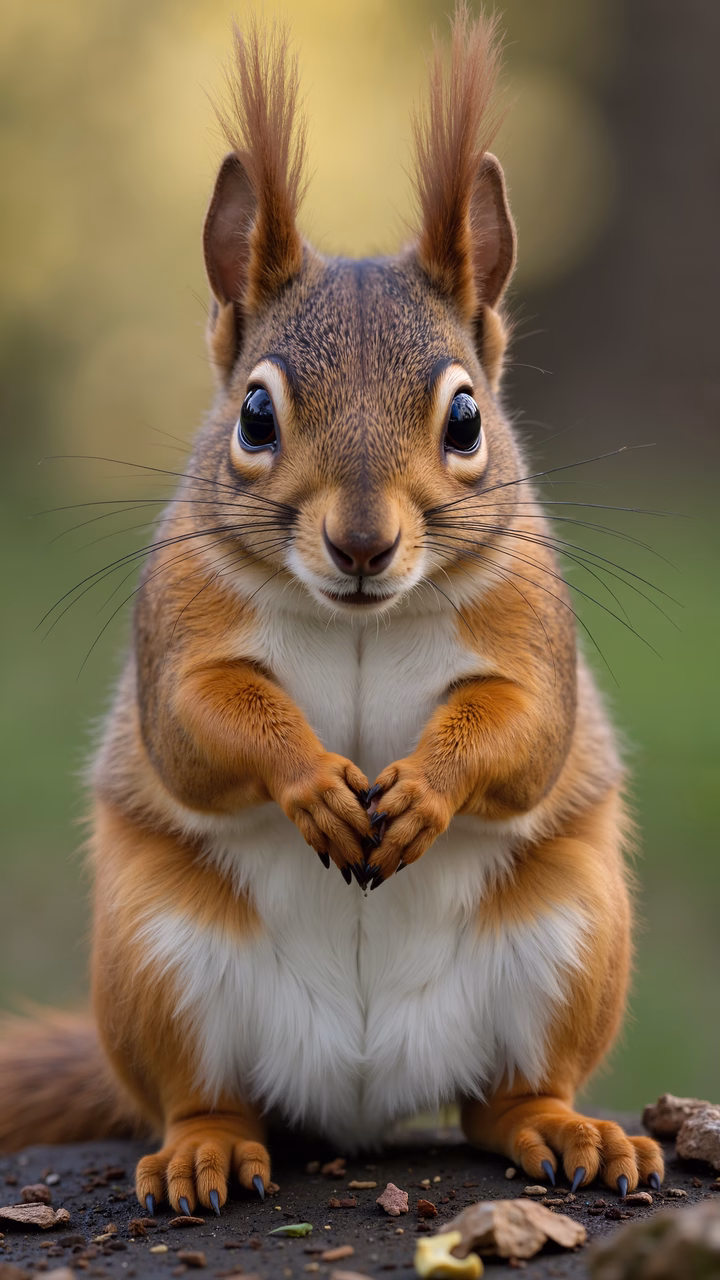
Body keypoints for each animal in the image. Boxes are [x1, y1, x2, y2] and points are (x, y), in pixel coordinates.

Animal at [0, 6, 664, 1212]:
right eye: (255, 414)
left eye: (467, 418)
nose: (362, 545)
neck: (360, 616)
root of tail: (362, 1092)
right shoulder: (180, 628)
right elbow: (198, 722)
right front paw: (312, 783)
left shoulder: (529, 632)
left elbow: (529, 731)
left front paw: (425, 790)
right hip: (154, 959)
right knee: (200, 1093)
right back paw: (207, 1148)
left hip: (575, 939)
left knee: (503, 1096)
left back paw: (569, 1129)